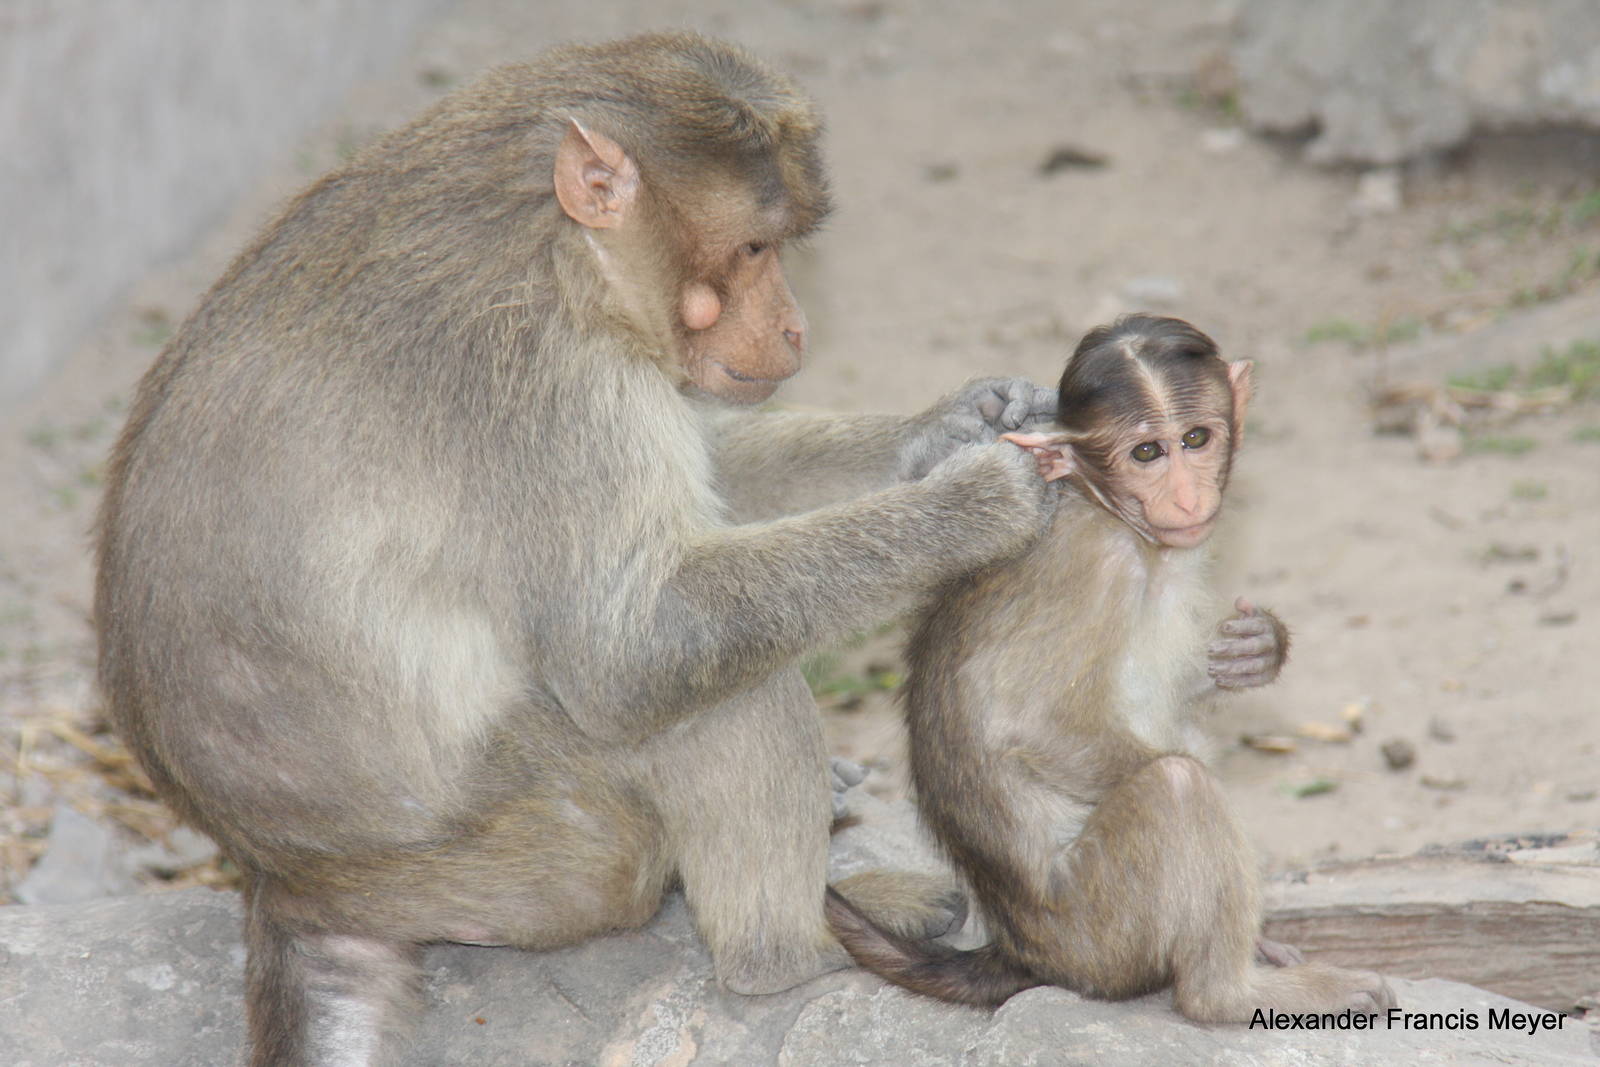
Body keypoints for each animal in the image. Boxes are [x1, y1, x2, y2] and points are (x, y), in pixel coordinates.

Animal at [93, 33, 1059, 1065]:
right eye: (755, 249)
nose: (796, 326)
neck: (560, 251)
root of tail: (281, 875)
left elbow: (703, 480)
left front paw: (955, 424)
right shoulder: (533, 380)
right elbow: (628, 646)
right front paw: (976, 503)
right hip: (539, 847)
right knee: (703, 695)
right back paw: (790, 953)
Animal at [826, 314, 1397, 1023]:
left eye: (1195, 439)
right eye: (1146, 453)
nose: (1186, 497)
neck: (1101, 506)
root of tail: (1024, 951)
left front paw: (1260, 646)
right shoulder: (1091, 563)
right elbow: (1031, 723)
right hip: (1098, 929)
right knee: (1175, 785)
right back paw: (1229, 991)